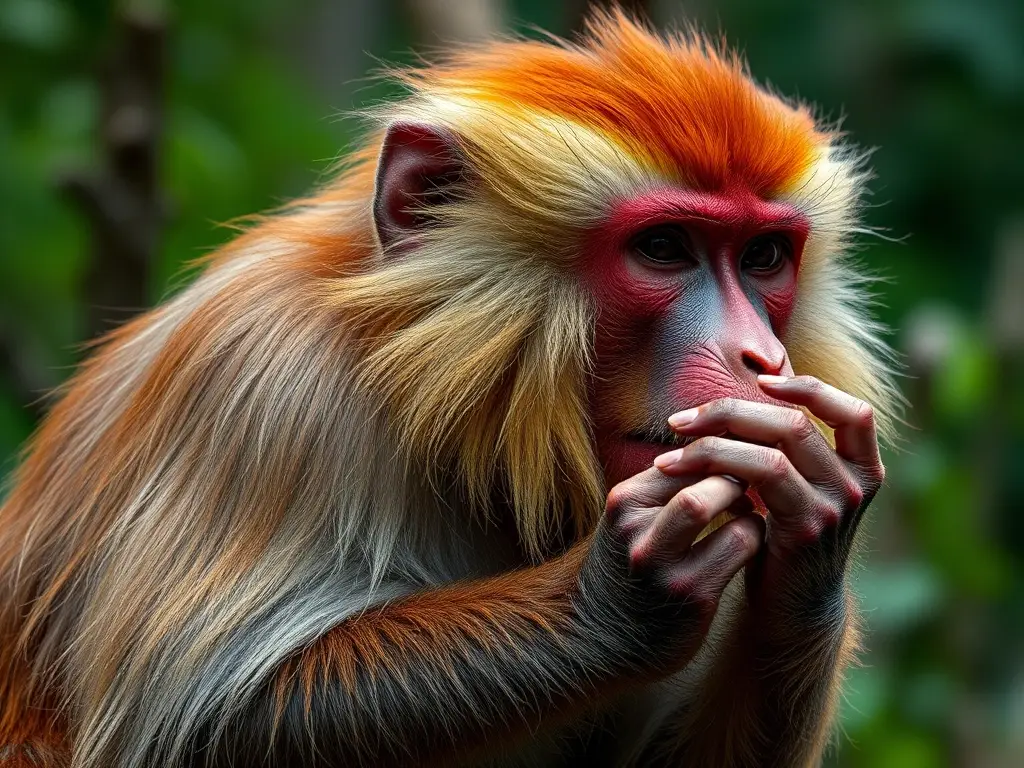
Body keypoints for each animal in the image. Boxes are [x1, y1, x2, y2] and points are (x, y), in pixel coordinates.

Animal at [0, 10, 900, 768]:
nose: (758, 357)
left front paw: (815, 538)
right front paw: (618, 600)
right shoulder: (258, 382)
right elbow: (196, 725)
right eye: (665, 248)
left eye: (762, 258)